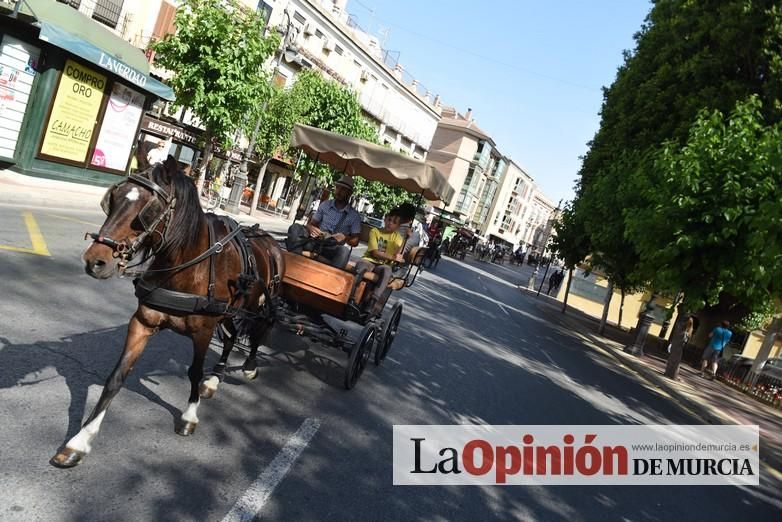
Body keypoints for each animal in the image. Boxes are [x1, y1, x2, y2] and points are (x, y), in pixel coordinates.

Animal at [51, 156, 284, 466]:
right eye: (113, 199)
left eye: (147, 210)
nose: (95, 261)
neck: (186, 265)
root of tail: (271, 241)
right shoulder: (142, 322)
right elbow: (116, 377)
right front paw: (80, 440)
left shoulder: (203, 330)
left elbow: (194, 372)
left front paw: (189, 415)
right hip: (230, 312)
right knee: (232, 338)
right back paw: (215, 379)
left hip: (259, 306)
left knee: (259, 332)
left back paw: (248, 367)